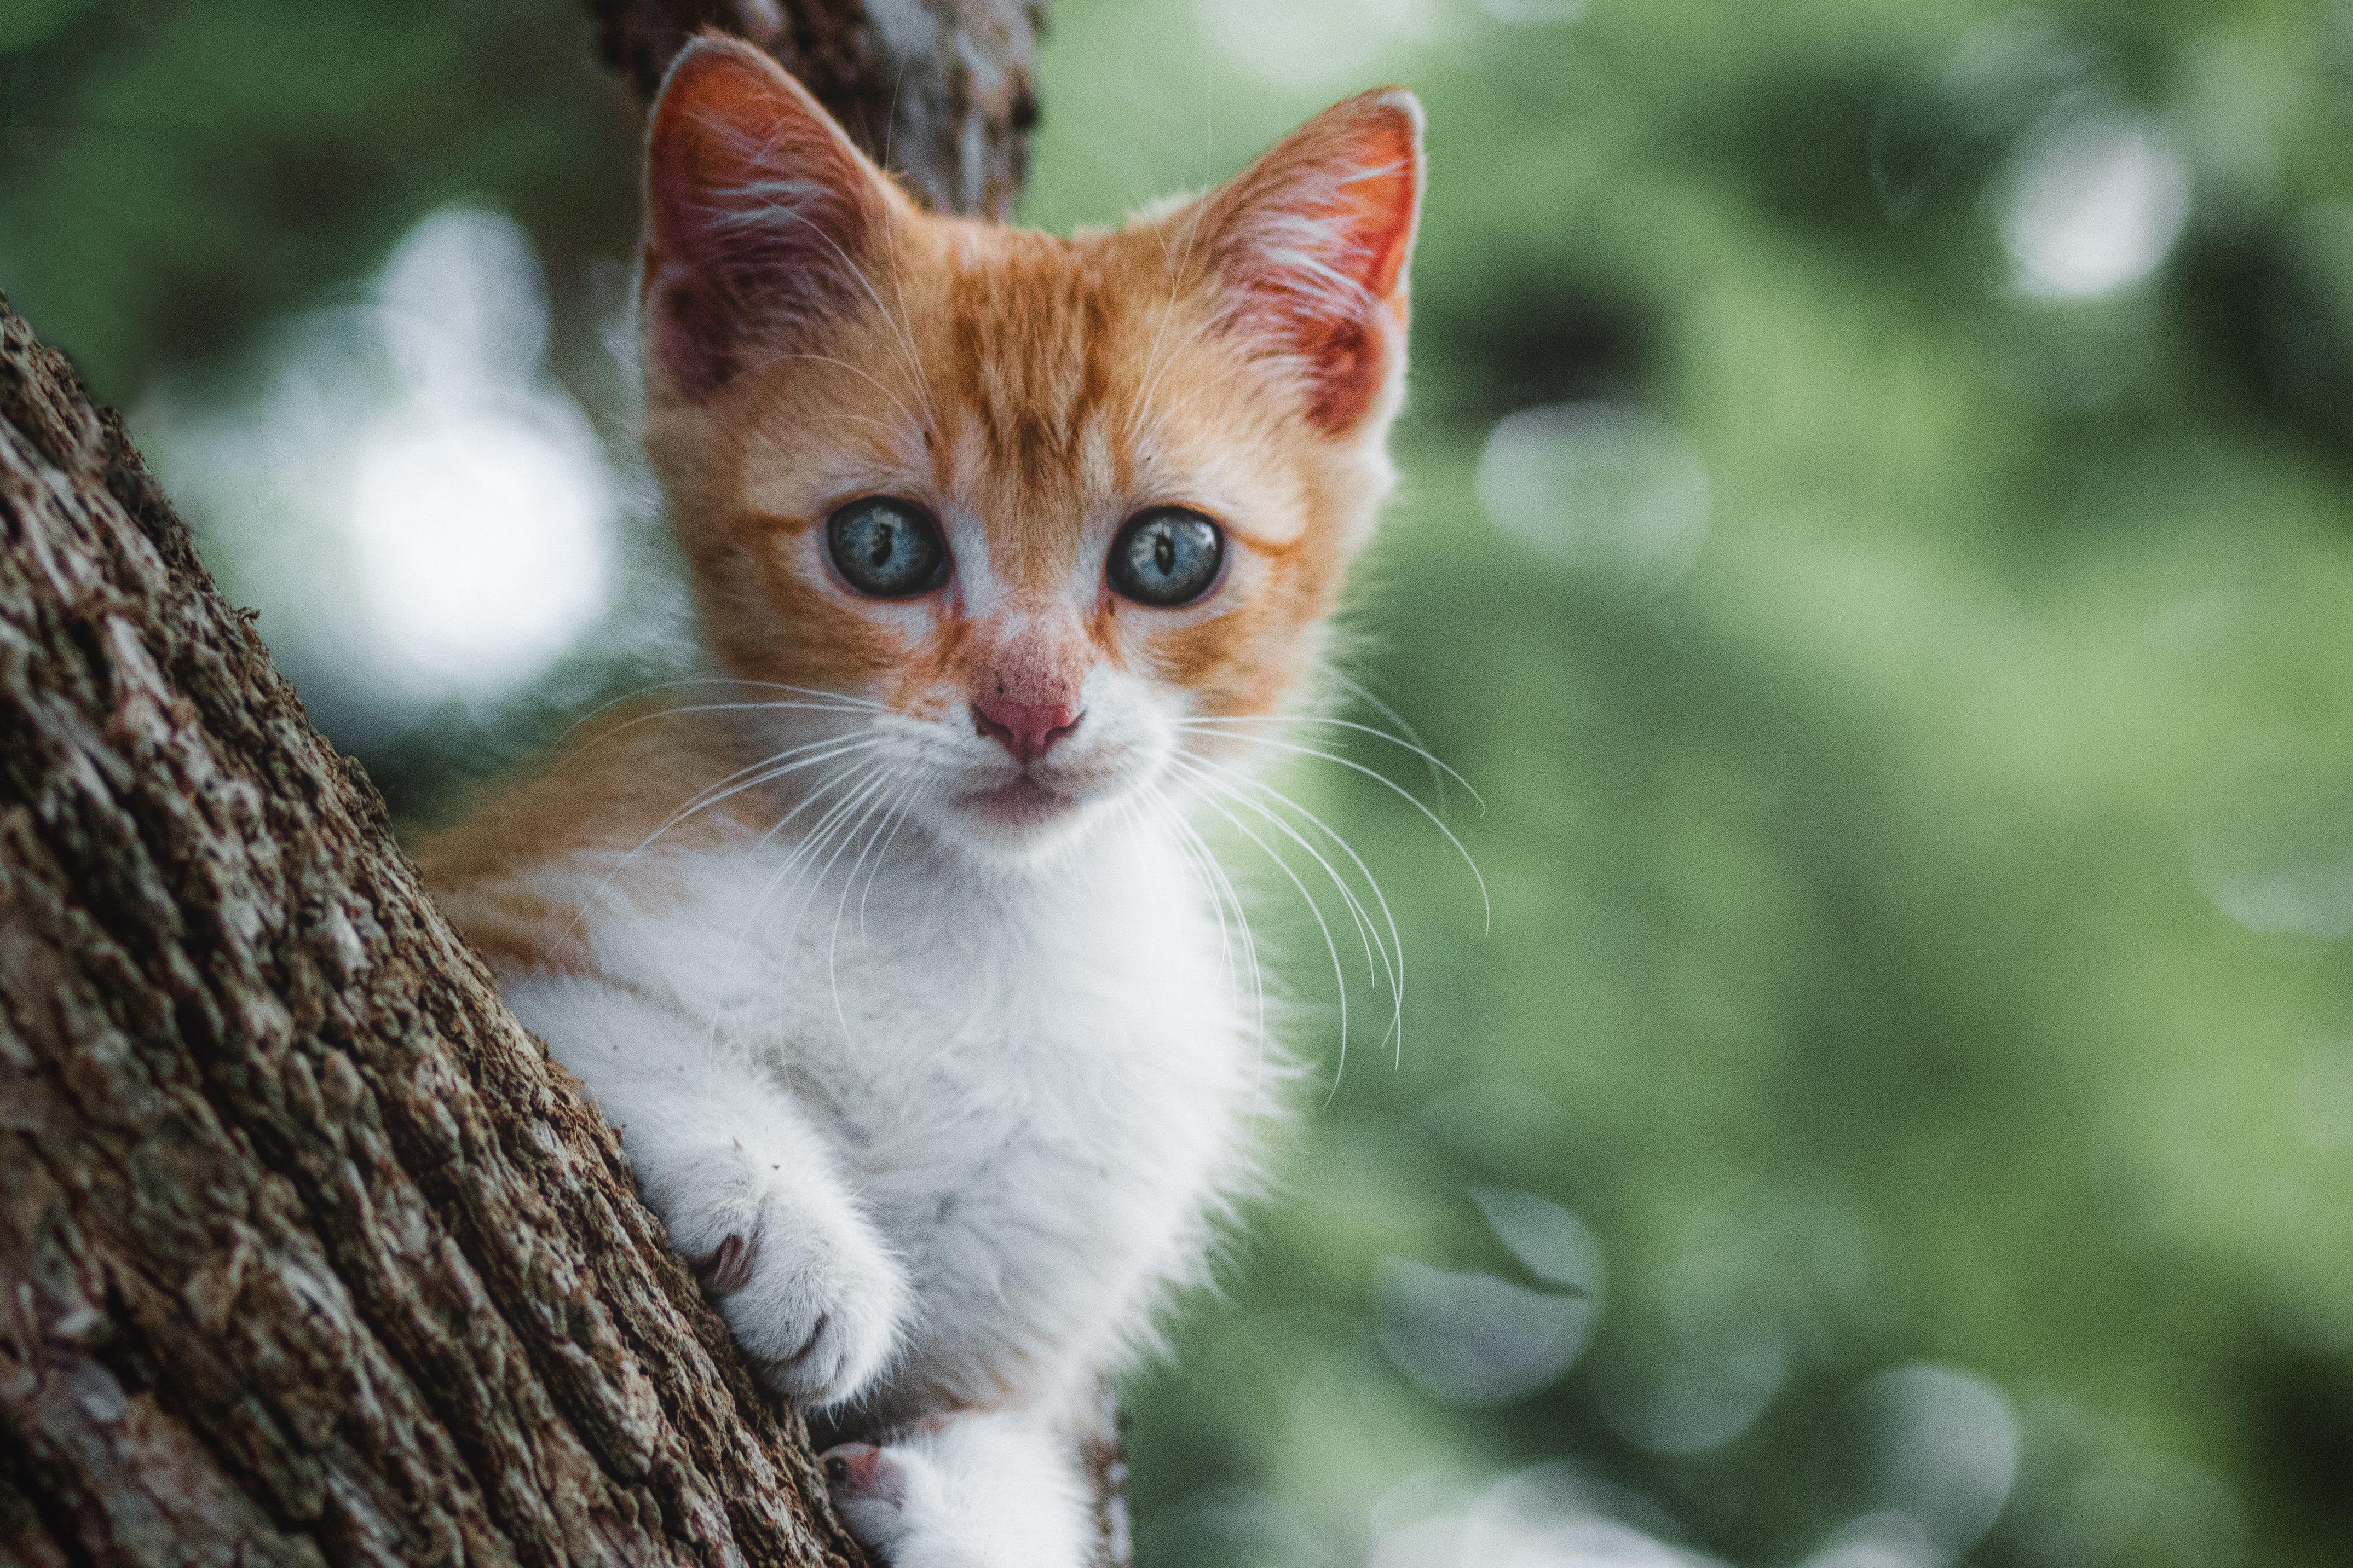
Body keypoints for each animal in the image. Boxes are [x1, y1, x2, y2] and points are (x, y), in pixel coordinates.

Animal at [416, 37, 1421, 1568]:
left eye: (1170, 554)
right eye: (881, 544)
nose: (1029, 708)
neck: (967, 919)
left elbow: (1016, 1453)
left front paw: (964, 1506)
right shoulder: (500, 889)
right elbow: (588, 1005)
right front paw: (789, 1214)